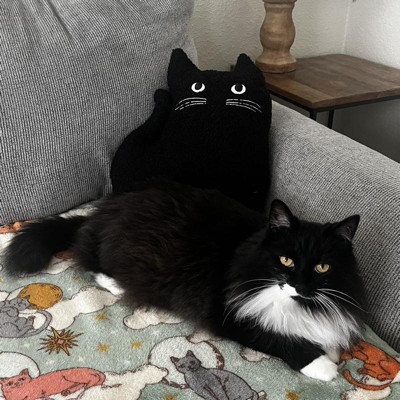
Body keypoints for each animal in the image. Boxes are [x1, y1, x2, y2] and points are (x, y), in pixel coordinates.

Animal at [4, 181, 366, 381]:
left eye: (322, 267)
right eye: (286, 260)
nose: (301, 287)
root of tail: (101, 212)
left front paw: (330, 349)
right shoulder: (230, 314)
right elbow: (279, 339)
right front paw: (323, 365)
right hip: (125, 253)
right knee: (92, 263)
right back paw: (117, 284)